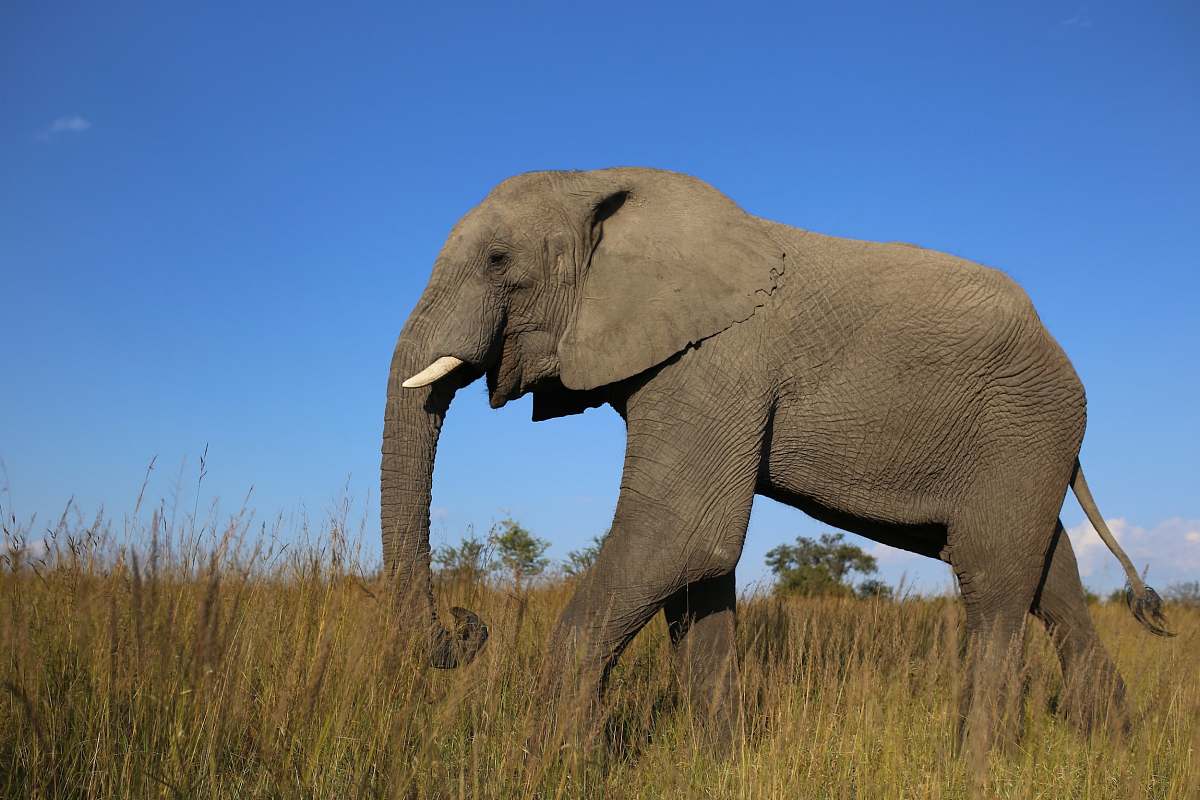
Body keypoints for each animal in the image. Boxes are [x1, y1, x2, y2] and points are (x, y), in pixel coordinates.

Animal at [384, 167, 1171, 758]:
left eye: (498, 261)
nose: (467, 624)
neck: (601, 184)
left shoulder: (720, 360)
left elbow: (682, 535)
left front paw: (553, 765)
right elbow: (694, 570)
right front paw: (718, 763)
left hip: (1026, 426)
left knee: (993, 578)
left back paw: (975, 762)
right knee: (1050, 574)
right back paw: (1114, 744)